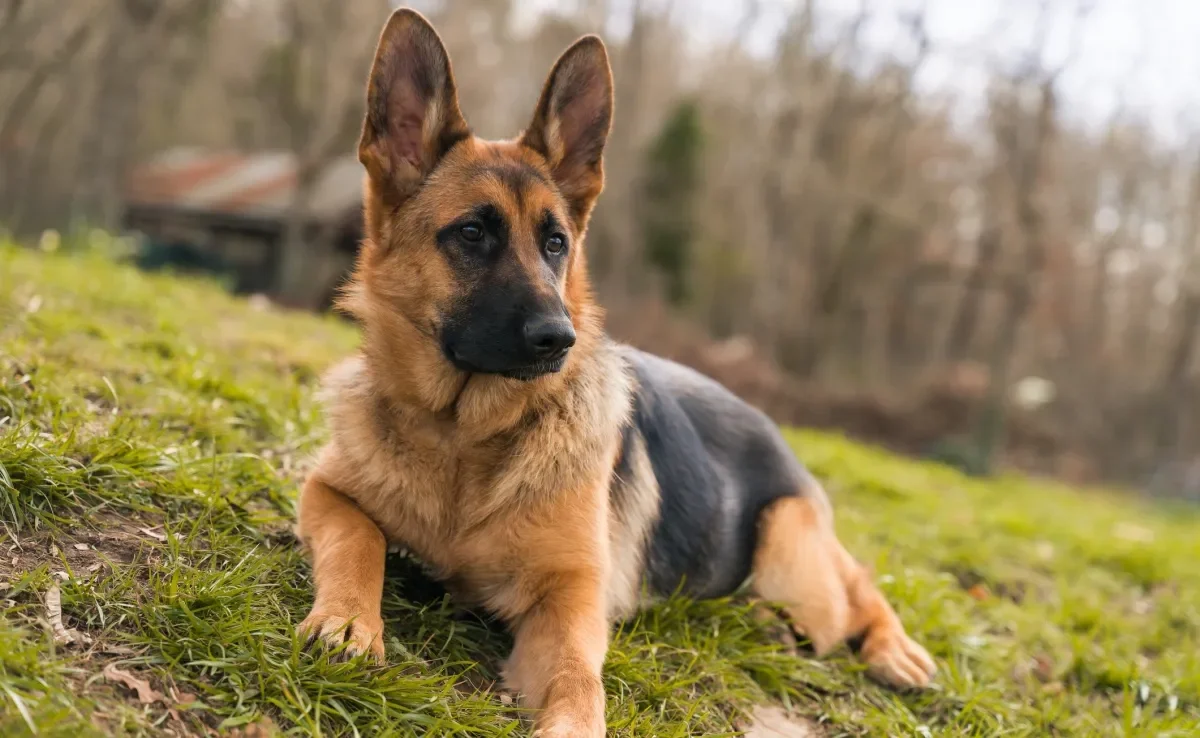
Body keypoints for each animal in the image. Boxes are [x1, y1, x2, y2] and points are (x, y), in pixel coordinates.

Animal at [295, 8, 931, 734]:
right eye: (472, 234)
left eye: (555, 244)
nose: (559, 338)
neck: (463, 436)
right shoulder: (325, 491)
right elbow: (359, 539)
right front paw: (349, 618)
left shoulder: (570, 599)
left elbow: (578, 678)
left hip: (791, 559)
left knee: (854, 588)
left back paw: (890, 647)